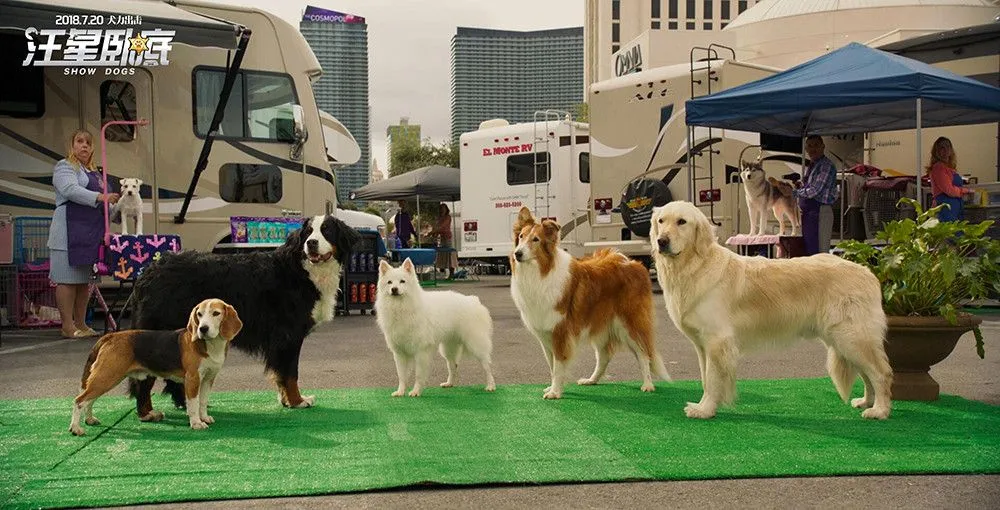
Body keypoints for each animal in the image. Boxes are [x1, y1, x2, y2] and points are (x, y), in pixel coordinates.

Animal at [376, 256, 496, 396]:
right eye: (389, 282)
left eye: (402, 281)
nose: (394, 289)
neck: (402, 306)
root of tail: (474, 301)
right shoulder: (399, 353)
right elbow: (401, 375)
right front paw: (400, 392)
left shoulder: (421, 351)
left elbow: (418, 375)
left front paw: (415, 391)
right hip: (448, 348)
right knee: (453, 366)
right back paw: (449, 383)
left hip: (475, 344)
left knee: (487, 366)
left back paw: (491, 386)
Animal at [652, 201, 896, 420]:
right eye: (661, 221)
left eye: (682, 222)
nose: (661, 241)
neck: (694, 265)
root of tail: (869, 273)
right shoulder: (703, 346)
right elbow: (705, 378)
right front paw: (706, 406)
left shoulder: (717, 341)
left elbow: (712, 380)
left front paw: (705, 410)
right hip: (844, 341)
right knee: (867, 374)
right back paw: (866, 402)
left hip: (852, 338)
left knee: (881, 373)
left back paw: (879, 411)